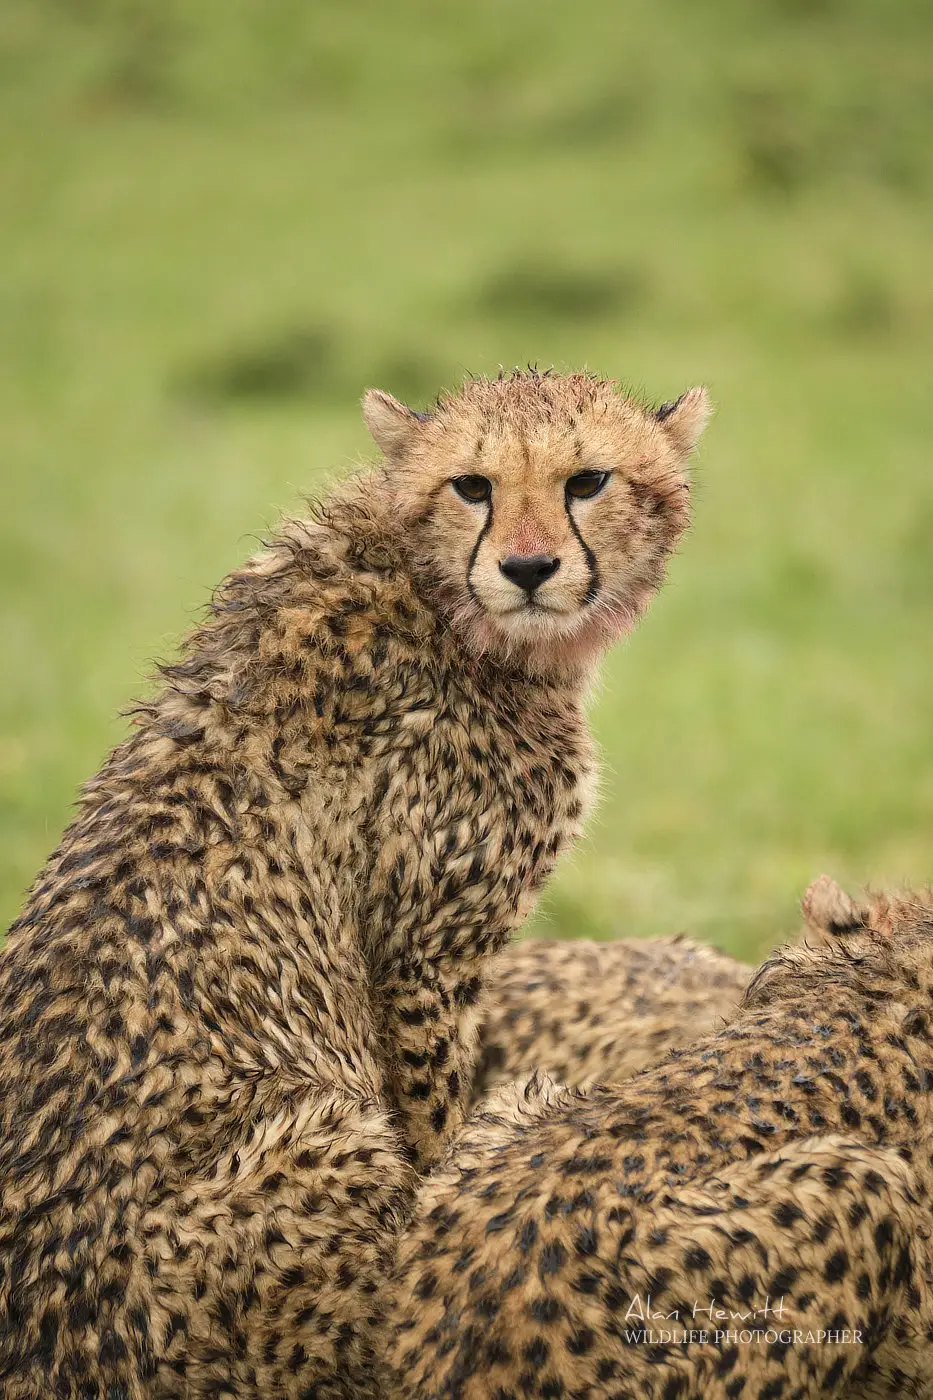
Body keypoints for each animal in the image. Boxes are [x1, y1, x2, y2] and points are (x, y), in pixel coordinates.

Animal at [0, 369, 708, 1398]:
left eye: (587, 481)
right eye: (471, 486)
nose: (528, 569)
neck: (430, 591)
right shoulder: (424, 955)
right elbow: (435, 1137)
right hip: (322, 1136)